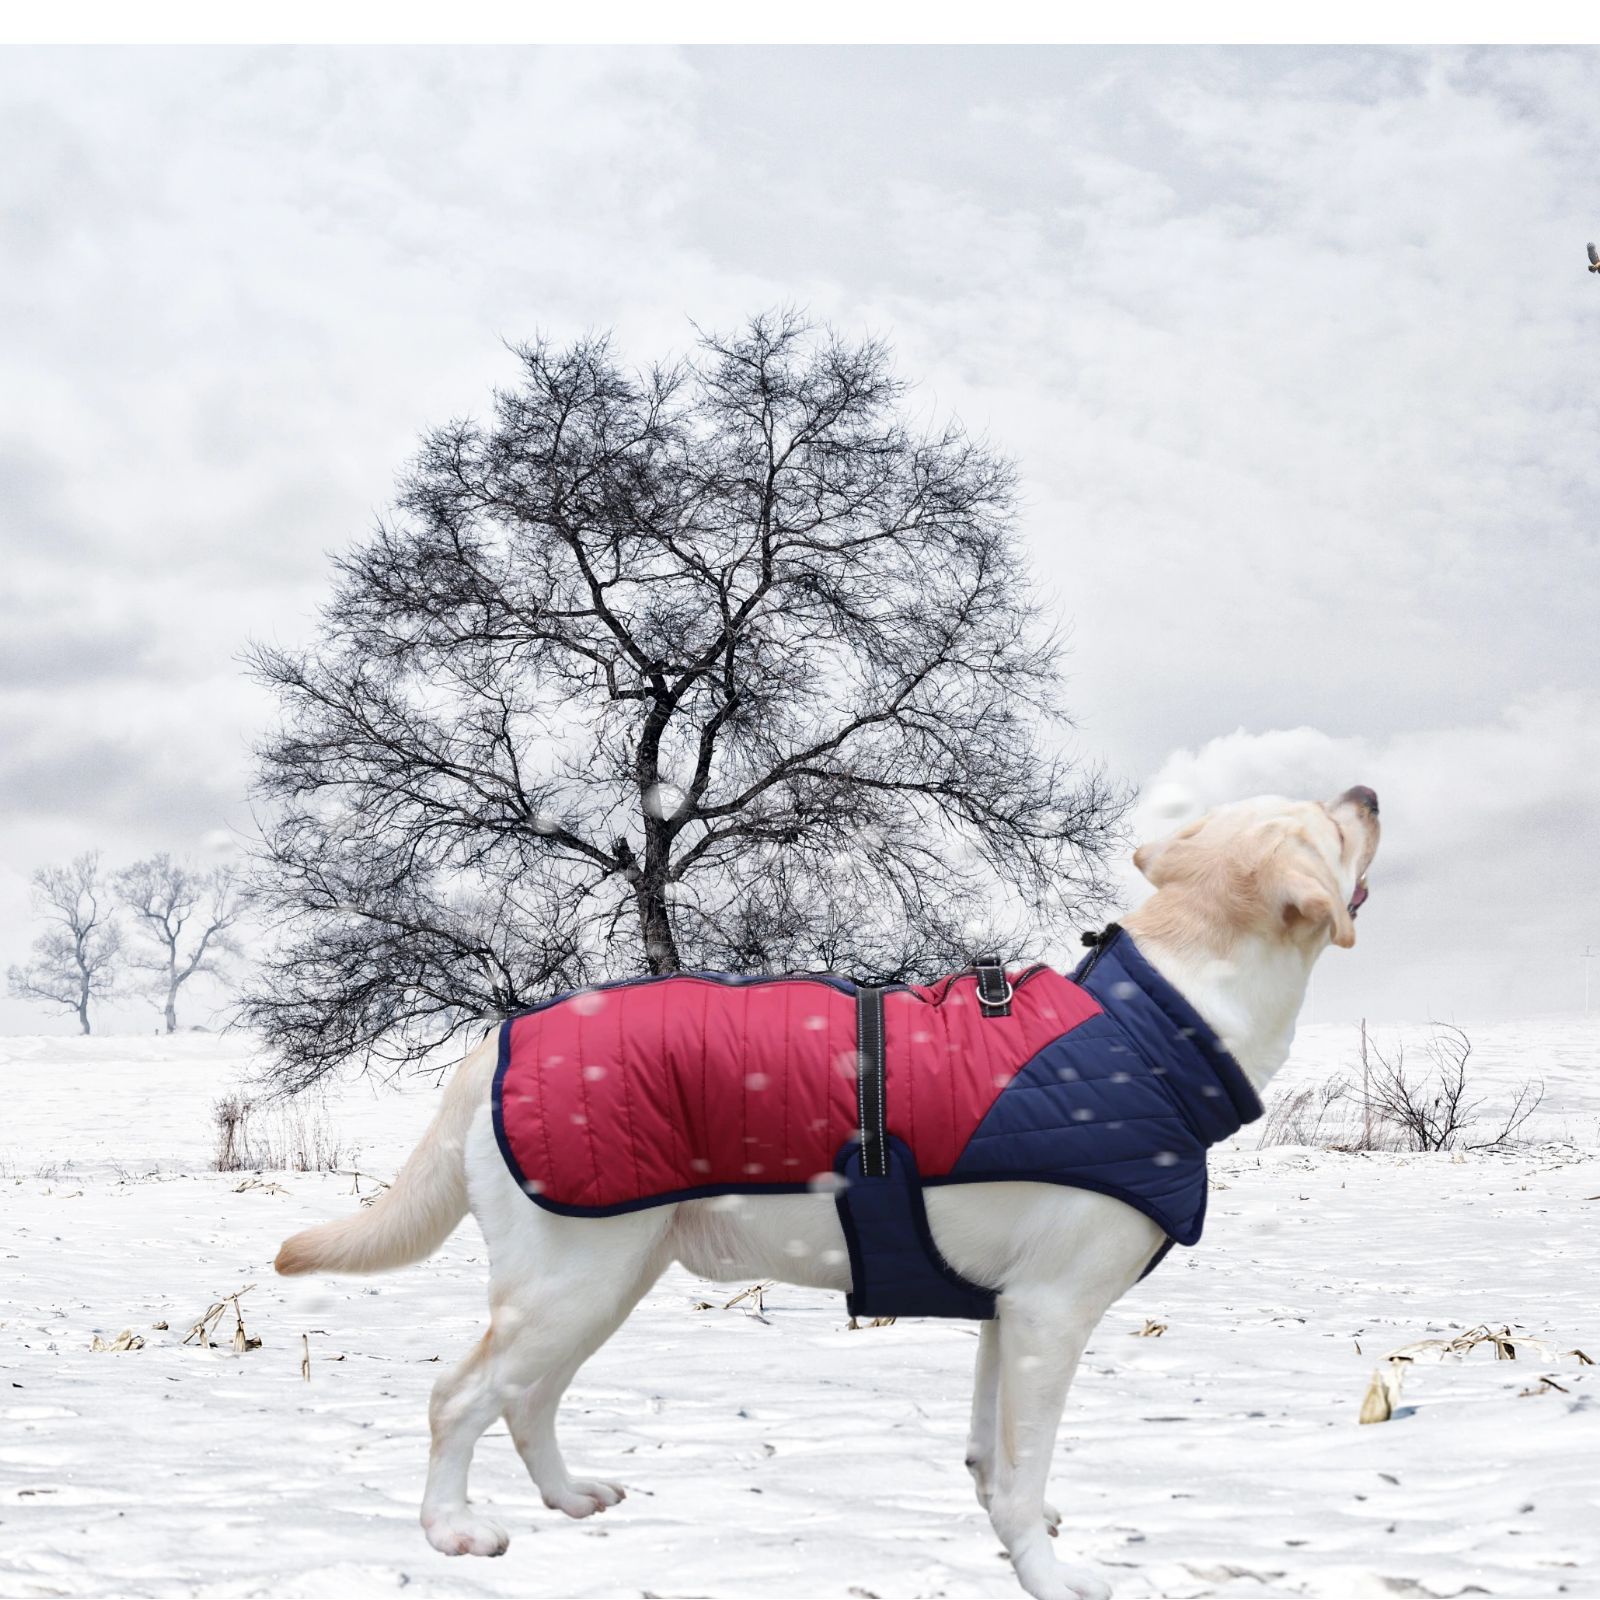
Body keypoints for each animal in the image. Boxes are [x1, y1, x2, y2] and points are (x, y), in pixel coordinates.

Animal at [272, 787, 1376, 1600]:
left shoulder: (1006, 1313)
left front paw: (1007, 1524)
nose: (1366, 791)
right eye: (1331, 824)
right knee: (461, 1395)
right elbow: (1023, 1473)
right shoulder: (1051, 1314)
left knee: (528, 1397)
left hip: (605, 1281)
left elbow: (993, 1454)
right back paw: (451, 1529)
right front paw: (1049, 1574)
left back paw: (567, 1496)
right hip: (569, 1284)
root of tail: (494, 1038)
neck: (1159, 1026)